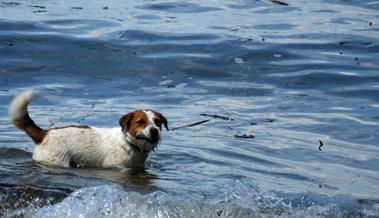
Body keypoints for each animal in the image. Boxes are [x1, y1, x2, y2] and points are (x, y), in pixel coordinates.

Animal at [8, 89, 168, 168]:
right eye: (141, 122)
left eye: (157, 122)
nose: (154, 131)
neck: (128, 144)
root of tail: (44, 134)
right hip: (56, 160)